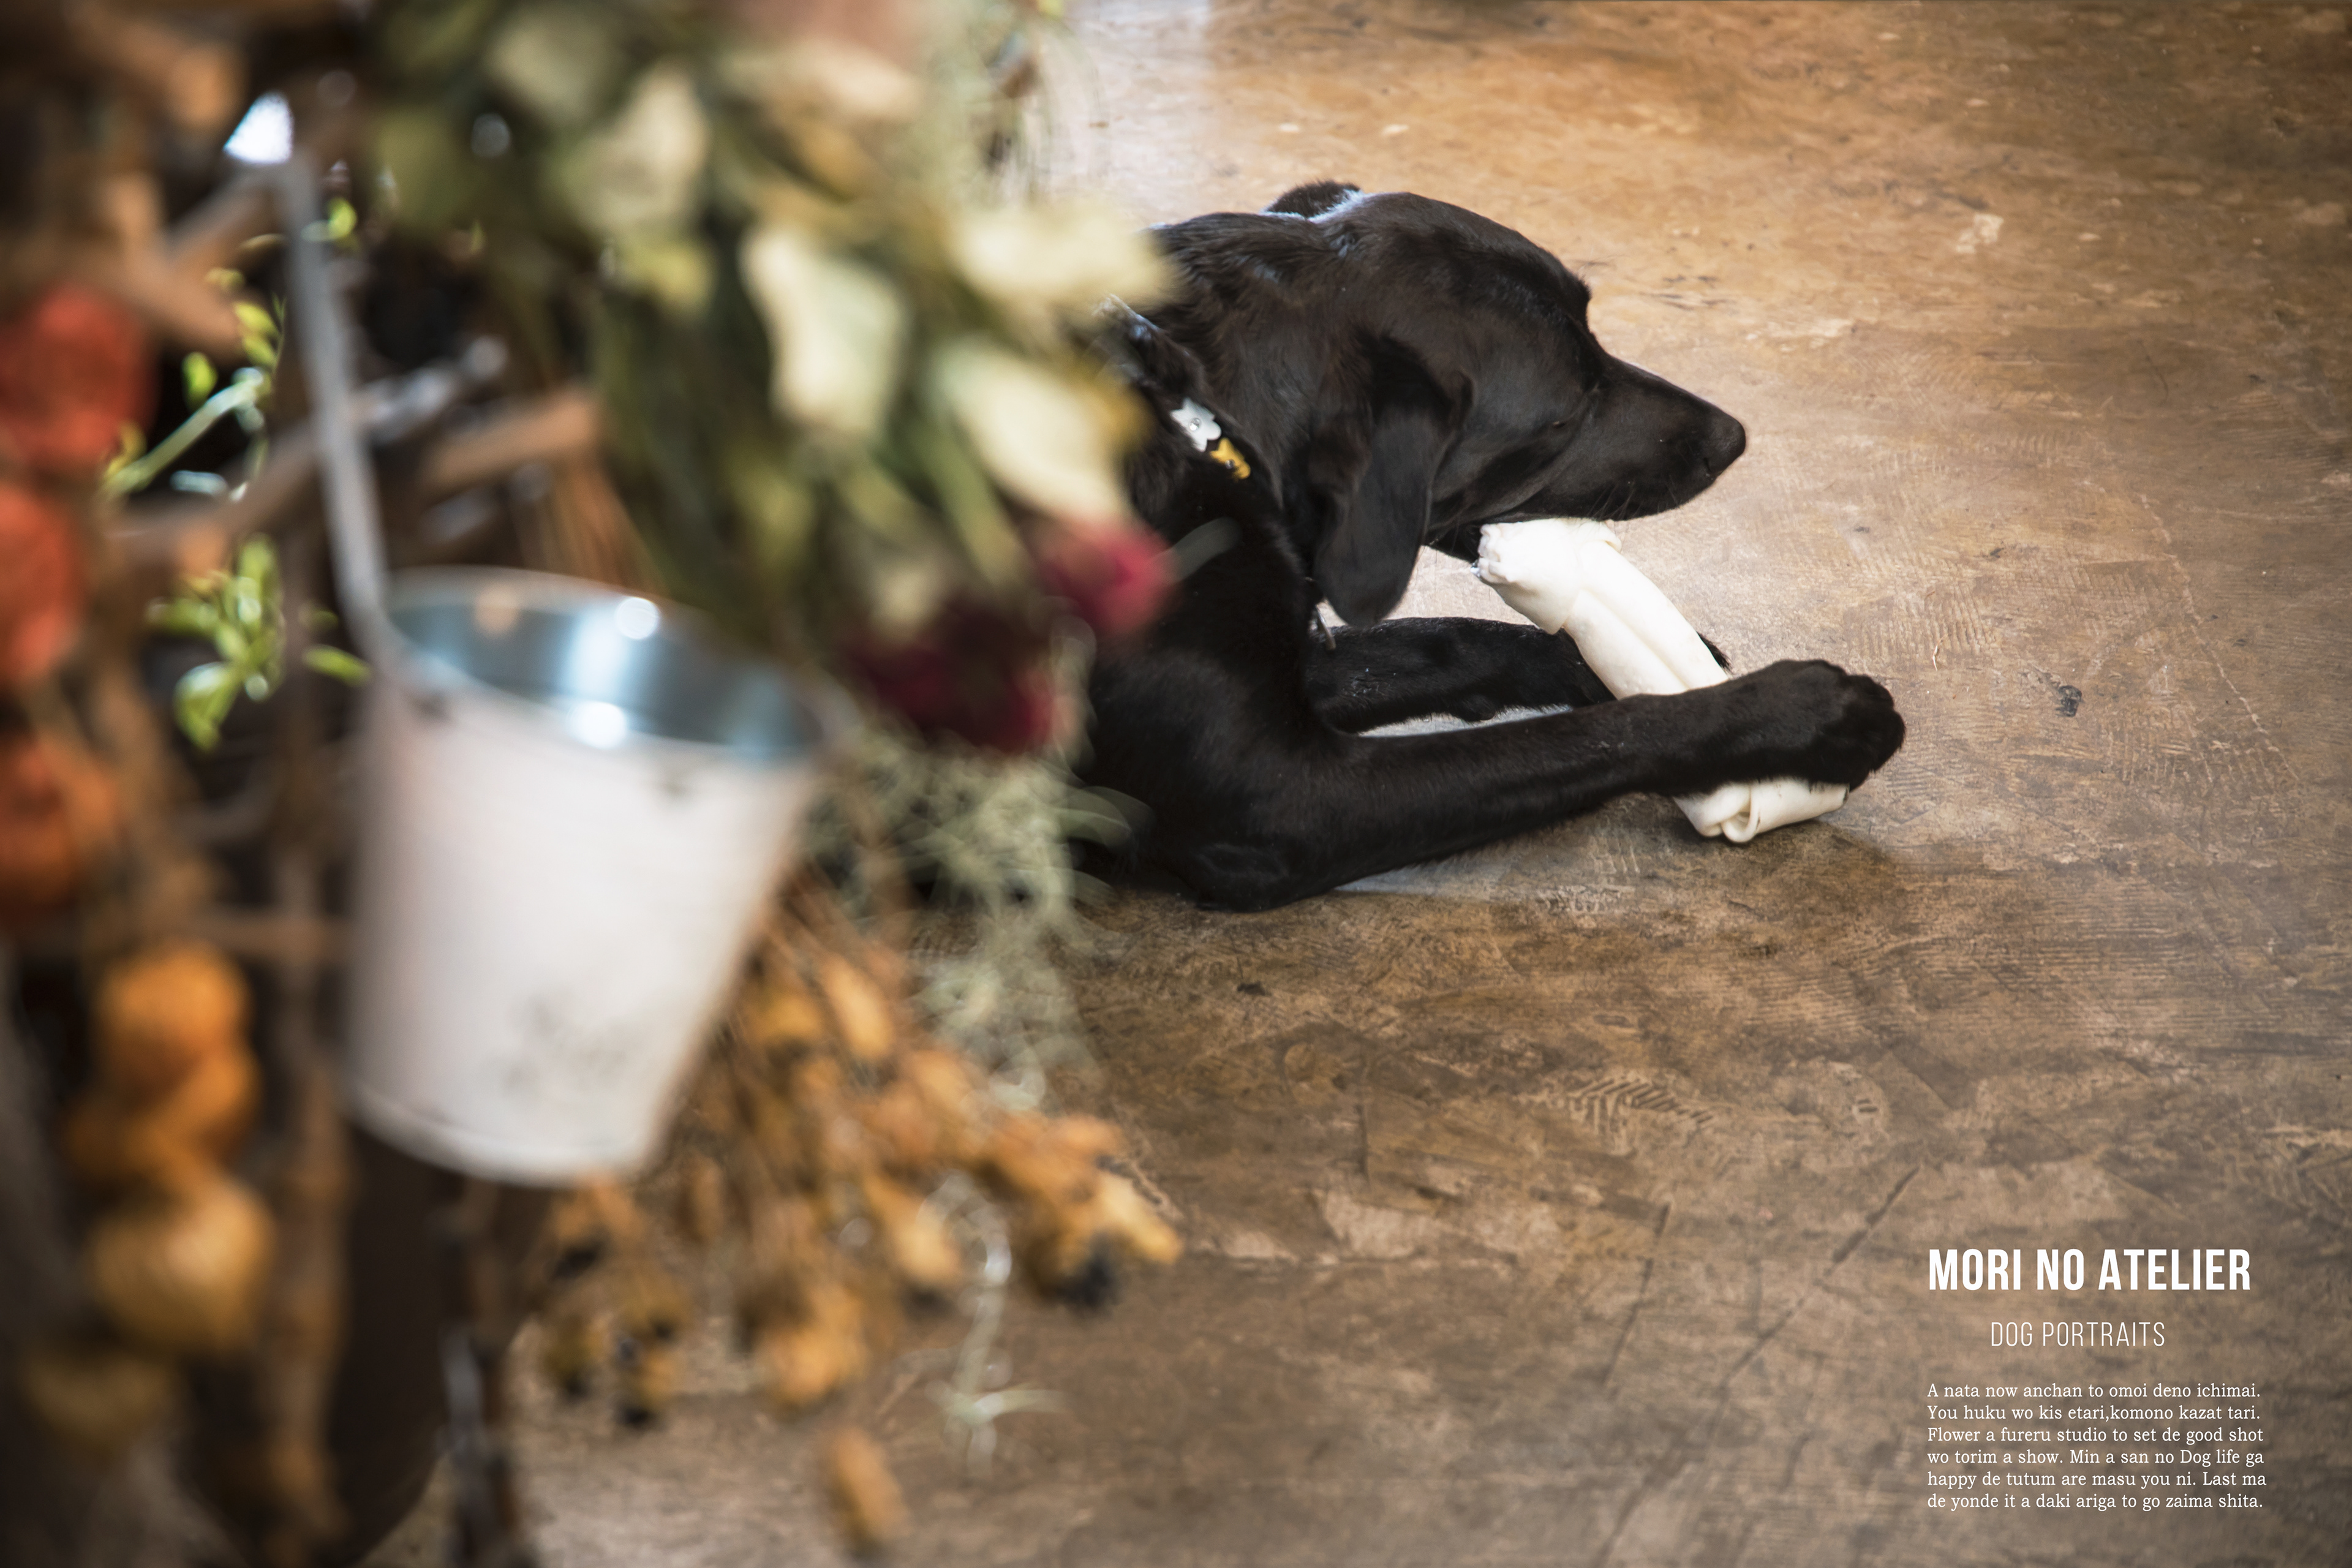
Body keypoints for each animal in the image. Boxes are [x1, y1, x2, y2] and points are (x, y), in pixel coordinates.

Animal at [1080, 183, 1904, 910]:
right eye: (1568, 410)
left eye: (1596, 336)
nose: (1733, 439)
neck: (1205, 420)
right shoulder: (1280, 806)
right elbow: (1583, 739)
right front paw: (1798, 716)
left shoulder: (1306, 666)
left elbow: (1447, 638)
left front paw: (1597, 662)